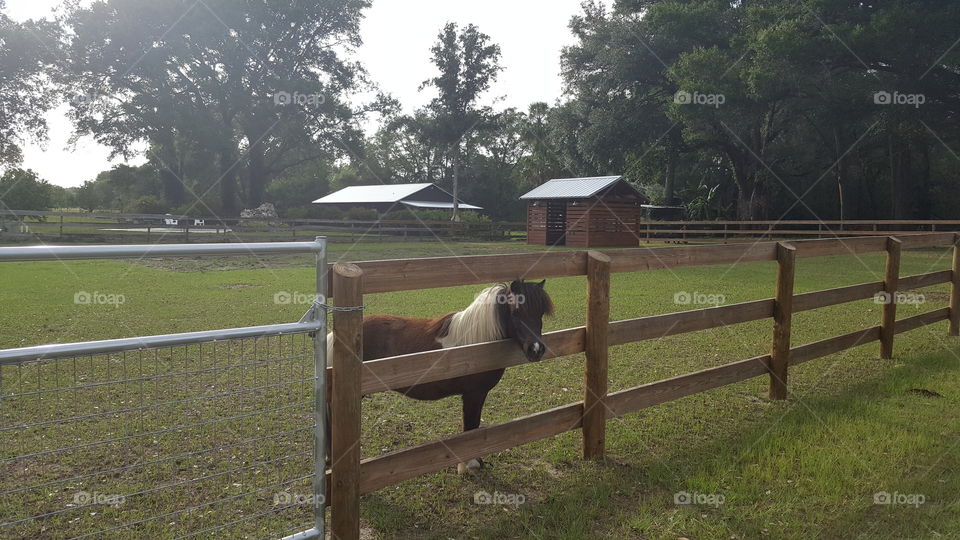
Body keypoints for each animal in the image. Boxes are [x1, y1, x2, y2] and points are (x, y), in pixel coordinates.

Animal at [327, 279, 553, 474]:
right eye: (516, 312)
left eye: (541, 312)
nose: (536, 349)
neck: (475, 345)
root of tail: (334, 337)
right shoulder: (474, 395)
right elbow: (470, 427)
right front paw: (469, 465)